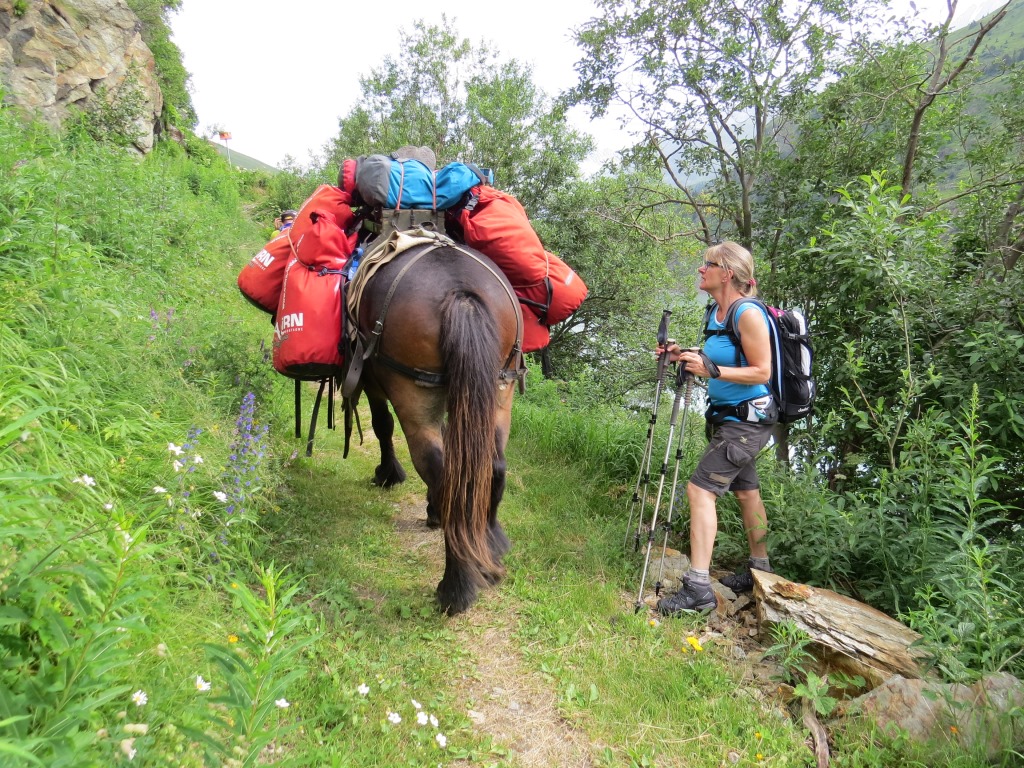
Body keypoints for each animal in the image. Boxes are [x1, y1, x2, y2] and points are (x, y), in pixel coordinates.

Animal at [346, 237, 524, 618]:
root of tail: (460, 292)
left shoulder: (371, 380)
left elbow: (382, 425)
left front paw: (388, 474)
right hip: (500, 389)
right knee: (491, 466)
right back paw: (490, 549)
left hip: (412, 394)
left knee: (441, 473)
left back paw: (454, 589)